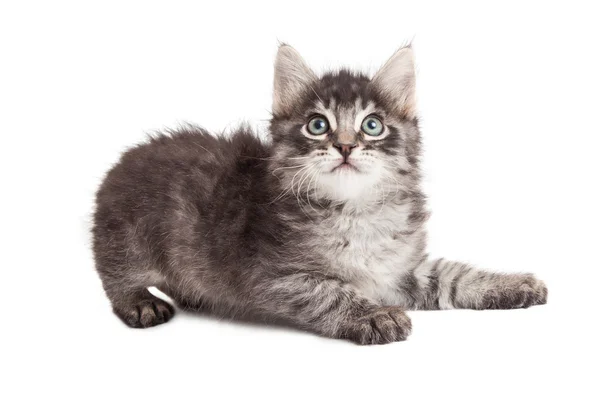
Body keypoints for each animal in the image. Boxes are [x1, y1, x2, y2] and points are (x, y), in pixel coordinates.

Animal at [92, 43, 548, 344]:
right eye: (318, 125)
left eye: (372, 125)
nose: (345, 146)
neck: (356, 212)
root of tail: (125, 159)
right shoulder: (276, 276)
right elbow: (331, 292)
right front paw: (376, 317)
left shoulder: (398, 269)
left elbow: (455, 275)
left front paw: (512, 284)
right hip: (127, 240)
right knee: (115, 276)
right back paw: (140, 302)